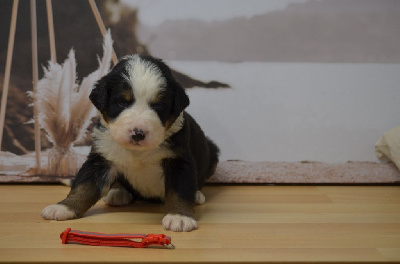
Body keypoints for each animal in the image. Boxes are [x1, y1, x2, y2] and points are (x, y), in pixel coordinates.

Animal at [41, 55, 219, 231]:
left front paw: (179, 217)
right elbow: (84, 186)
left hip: (213, 152)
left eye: (159, 105)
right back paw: (117, 192)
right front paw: (63, 207)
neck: (137, 152)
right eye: (122, 102)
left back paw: (196, 194)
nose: (138, 134)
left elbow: (179, 190)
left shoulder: (178, 160)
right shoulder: (102, 157)